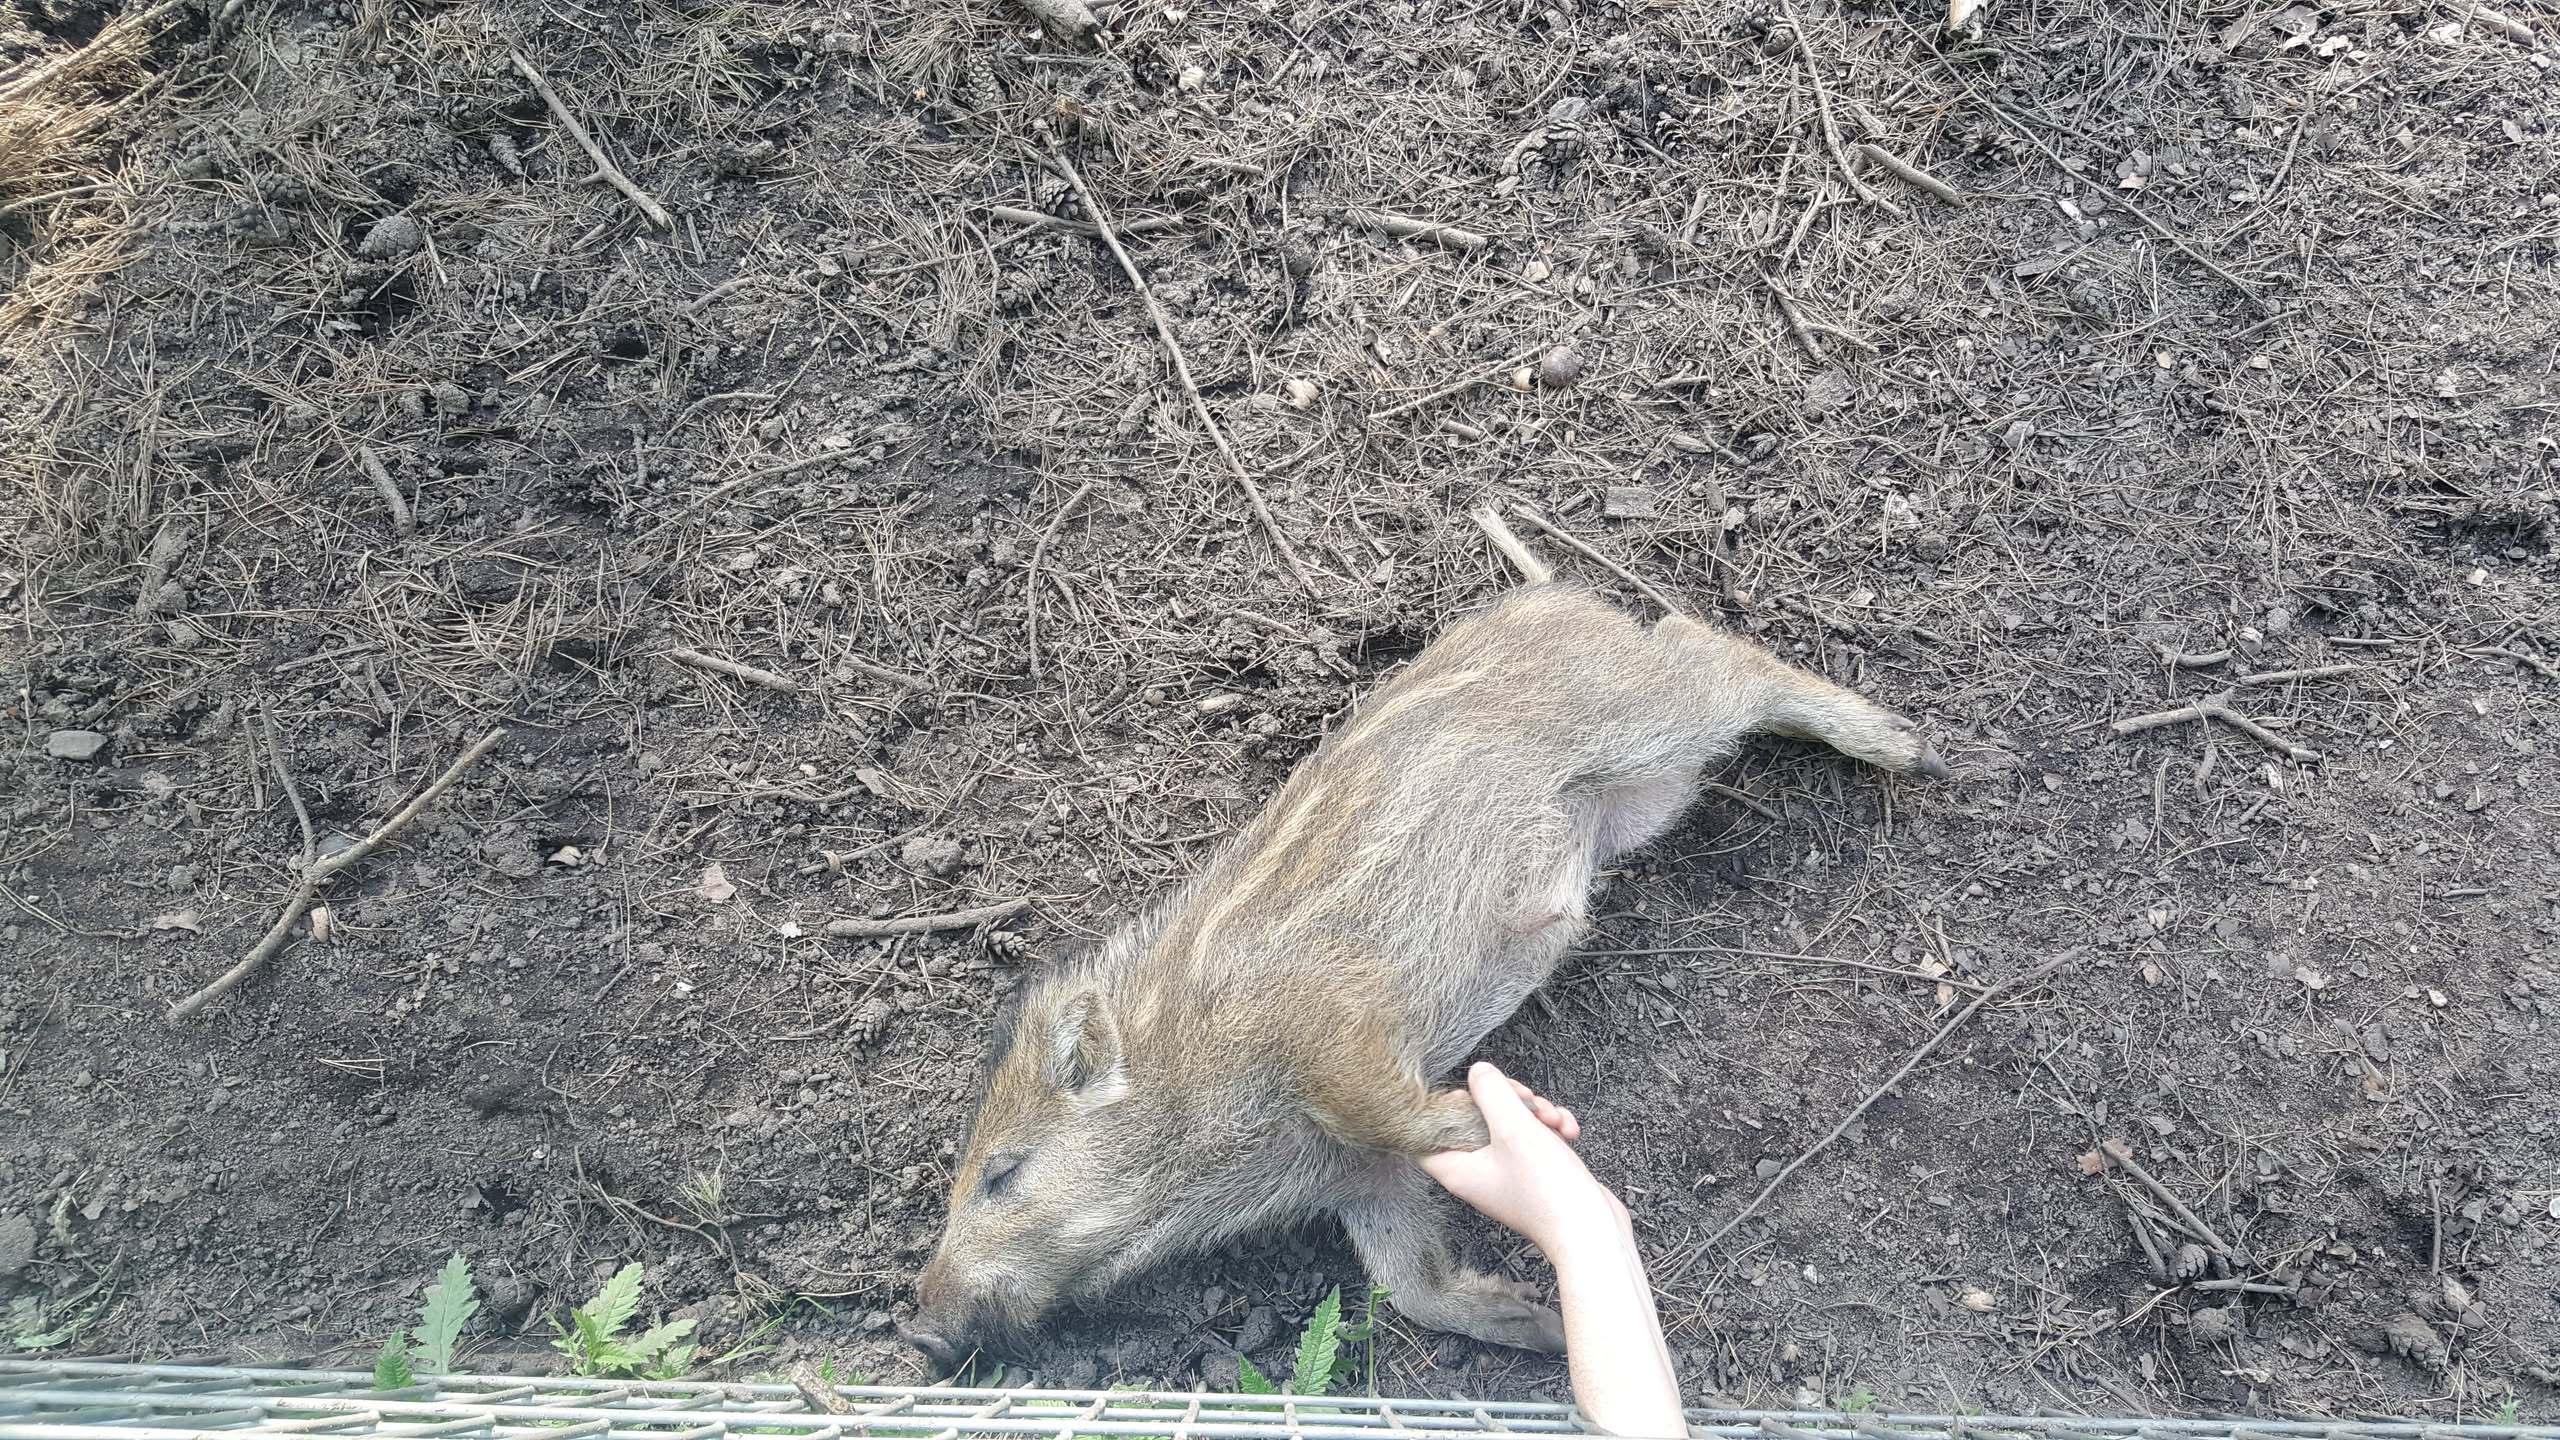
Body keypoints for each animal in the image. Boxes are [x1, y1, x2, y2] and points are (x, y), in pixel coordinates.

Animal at [905, 583, 1943, 1369]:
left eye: (1001, 1173)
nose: (919, 1334)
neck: (1204, 1110)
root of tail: (1554, 597)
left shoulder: (1330, 1024)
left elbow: (1381, 1109)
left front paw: (1507, 1125)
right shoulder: (1362, 1183)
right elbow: (1413, 1287)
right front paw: (1537, 1323)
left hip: (1648, 718)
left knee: (1716, 653)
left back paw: (1913, 748)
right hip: (1648, 795)